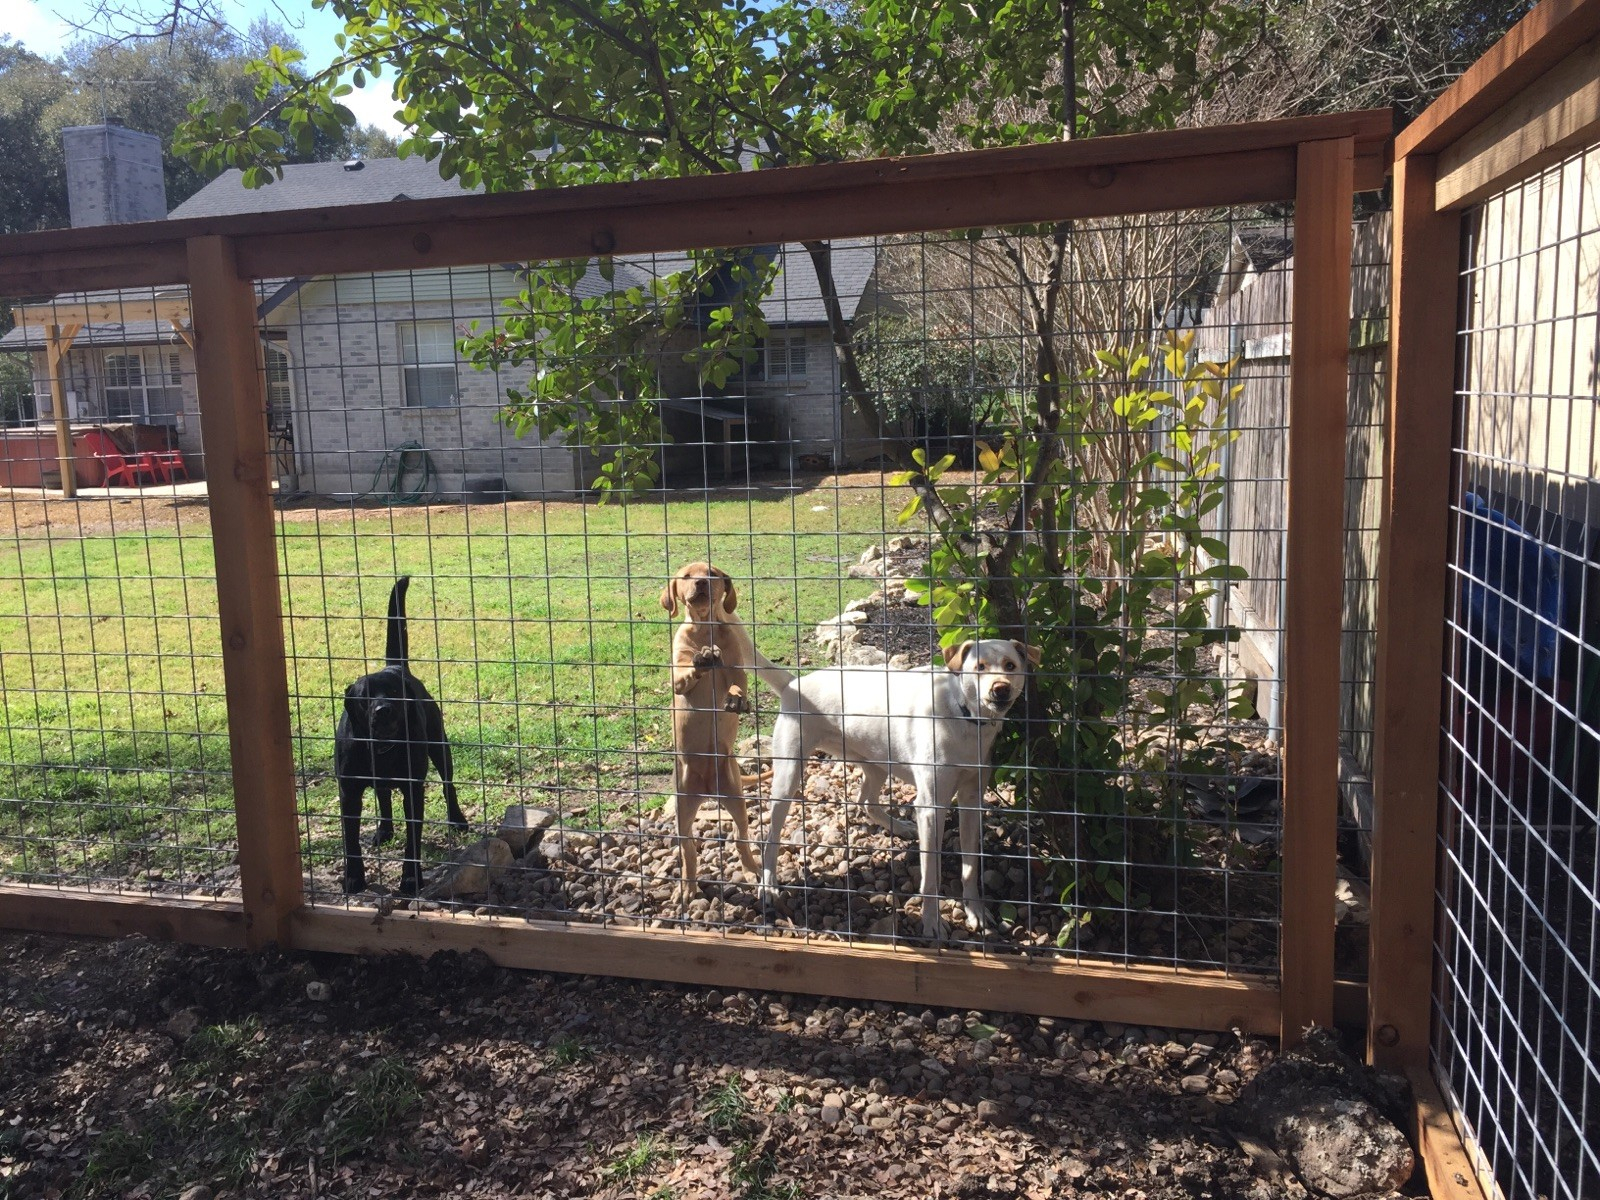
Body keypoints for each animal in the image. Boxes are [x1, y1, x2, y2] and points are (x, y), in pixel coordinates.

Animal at [336, 579, 467, 896]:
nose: (383, 710)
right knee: (383, 795)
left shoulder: (413, 790)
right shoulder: (348, 792)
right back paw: (384, 829)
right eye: (365, 697)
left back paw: (457, 819)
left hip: (440, 748)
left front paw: (410, 879)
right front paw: (354, 878)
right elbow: (351, 840)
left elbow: (412, 839)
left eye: (394, 692)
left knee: (448, 785)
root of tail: (395, 665)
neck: (382, 748)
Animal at [656, 563, 768, 908]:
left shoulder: (737, 670)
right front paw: (702, 660)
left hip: (736, 797)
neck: (705, 627)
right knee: (689, 849)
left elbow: (737, 686)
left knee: (741, 837)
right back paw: (688, 886)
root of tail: (707, 791)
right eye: (685, 576)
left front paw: (735, 700)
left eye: (713, 573)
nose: (702, 583)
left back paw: (750, 871)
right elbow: (686, 674)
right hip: (682, 809)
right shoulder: (677, 674)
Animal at [748, 643, 1036, 947]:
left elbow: (970, 866)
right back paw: (768, 884)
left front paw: (975, 911)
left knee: (865, 801)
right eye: (979, 667)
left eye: (1010, 665)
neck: (965, 716)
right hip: (788, 776)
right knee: (771, 836)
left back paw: (900, 827)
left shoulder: (971, 801)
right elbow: (930, 875)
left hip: (875, 763)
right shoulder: (931, 807)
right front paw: (932, 923)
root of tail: (794, 683)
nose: (1001, 688)